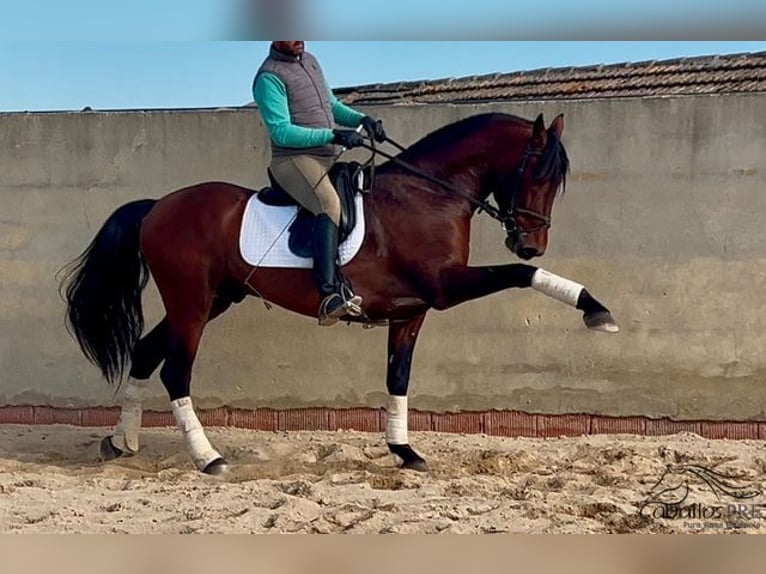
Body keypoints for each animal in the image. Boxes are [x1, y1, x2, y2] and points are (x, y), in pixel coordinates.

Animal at [60, 111, 624, 476]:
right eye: (536, 172)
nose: (530, 242)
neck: (428, 194)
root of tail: (158, 206)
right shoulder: (445, 286)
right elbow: (521, 275)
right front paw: (597, 312)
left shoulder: (412, 311)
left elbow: (398, 377)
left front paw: (405, 452)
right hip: (192, 302)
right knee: (175, 370)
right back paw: (208, 458)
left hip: (213, 300)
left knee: (144, 353)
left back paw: (122, 441)